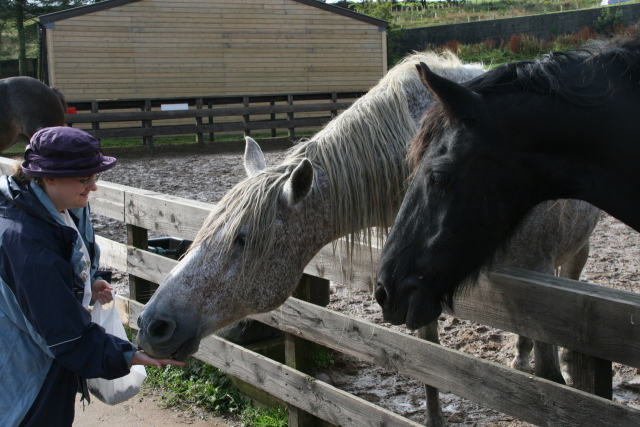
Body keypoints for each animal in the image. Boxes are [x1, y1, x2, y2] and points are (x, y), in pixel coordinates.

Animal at [135, 51, 599, 425]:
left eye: (242, 240)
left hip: (576, 256)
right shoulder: (416, 282)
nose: (151, 324)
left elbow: (550, 380)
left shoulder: (542, 286)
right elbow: (430, 359)